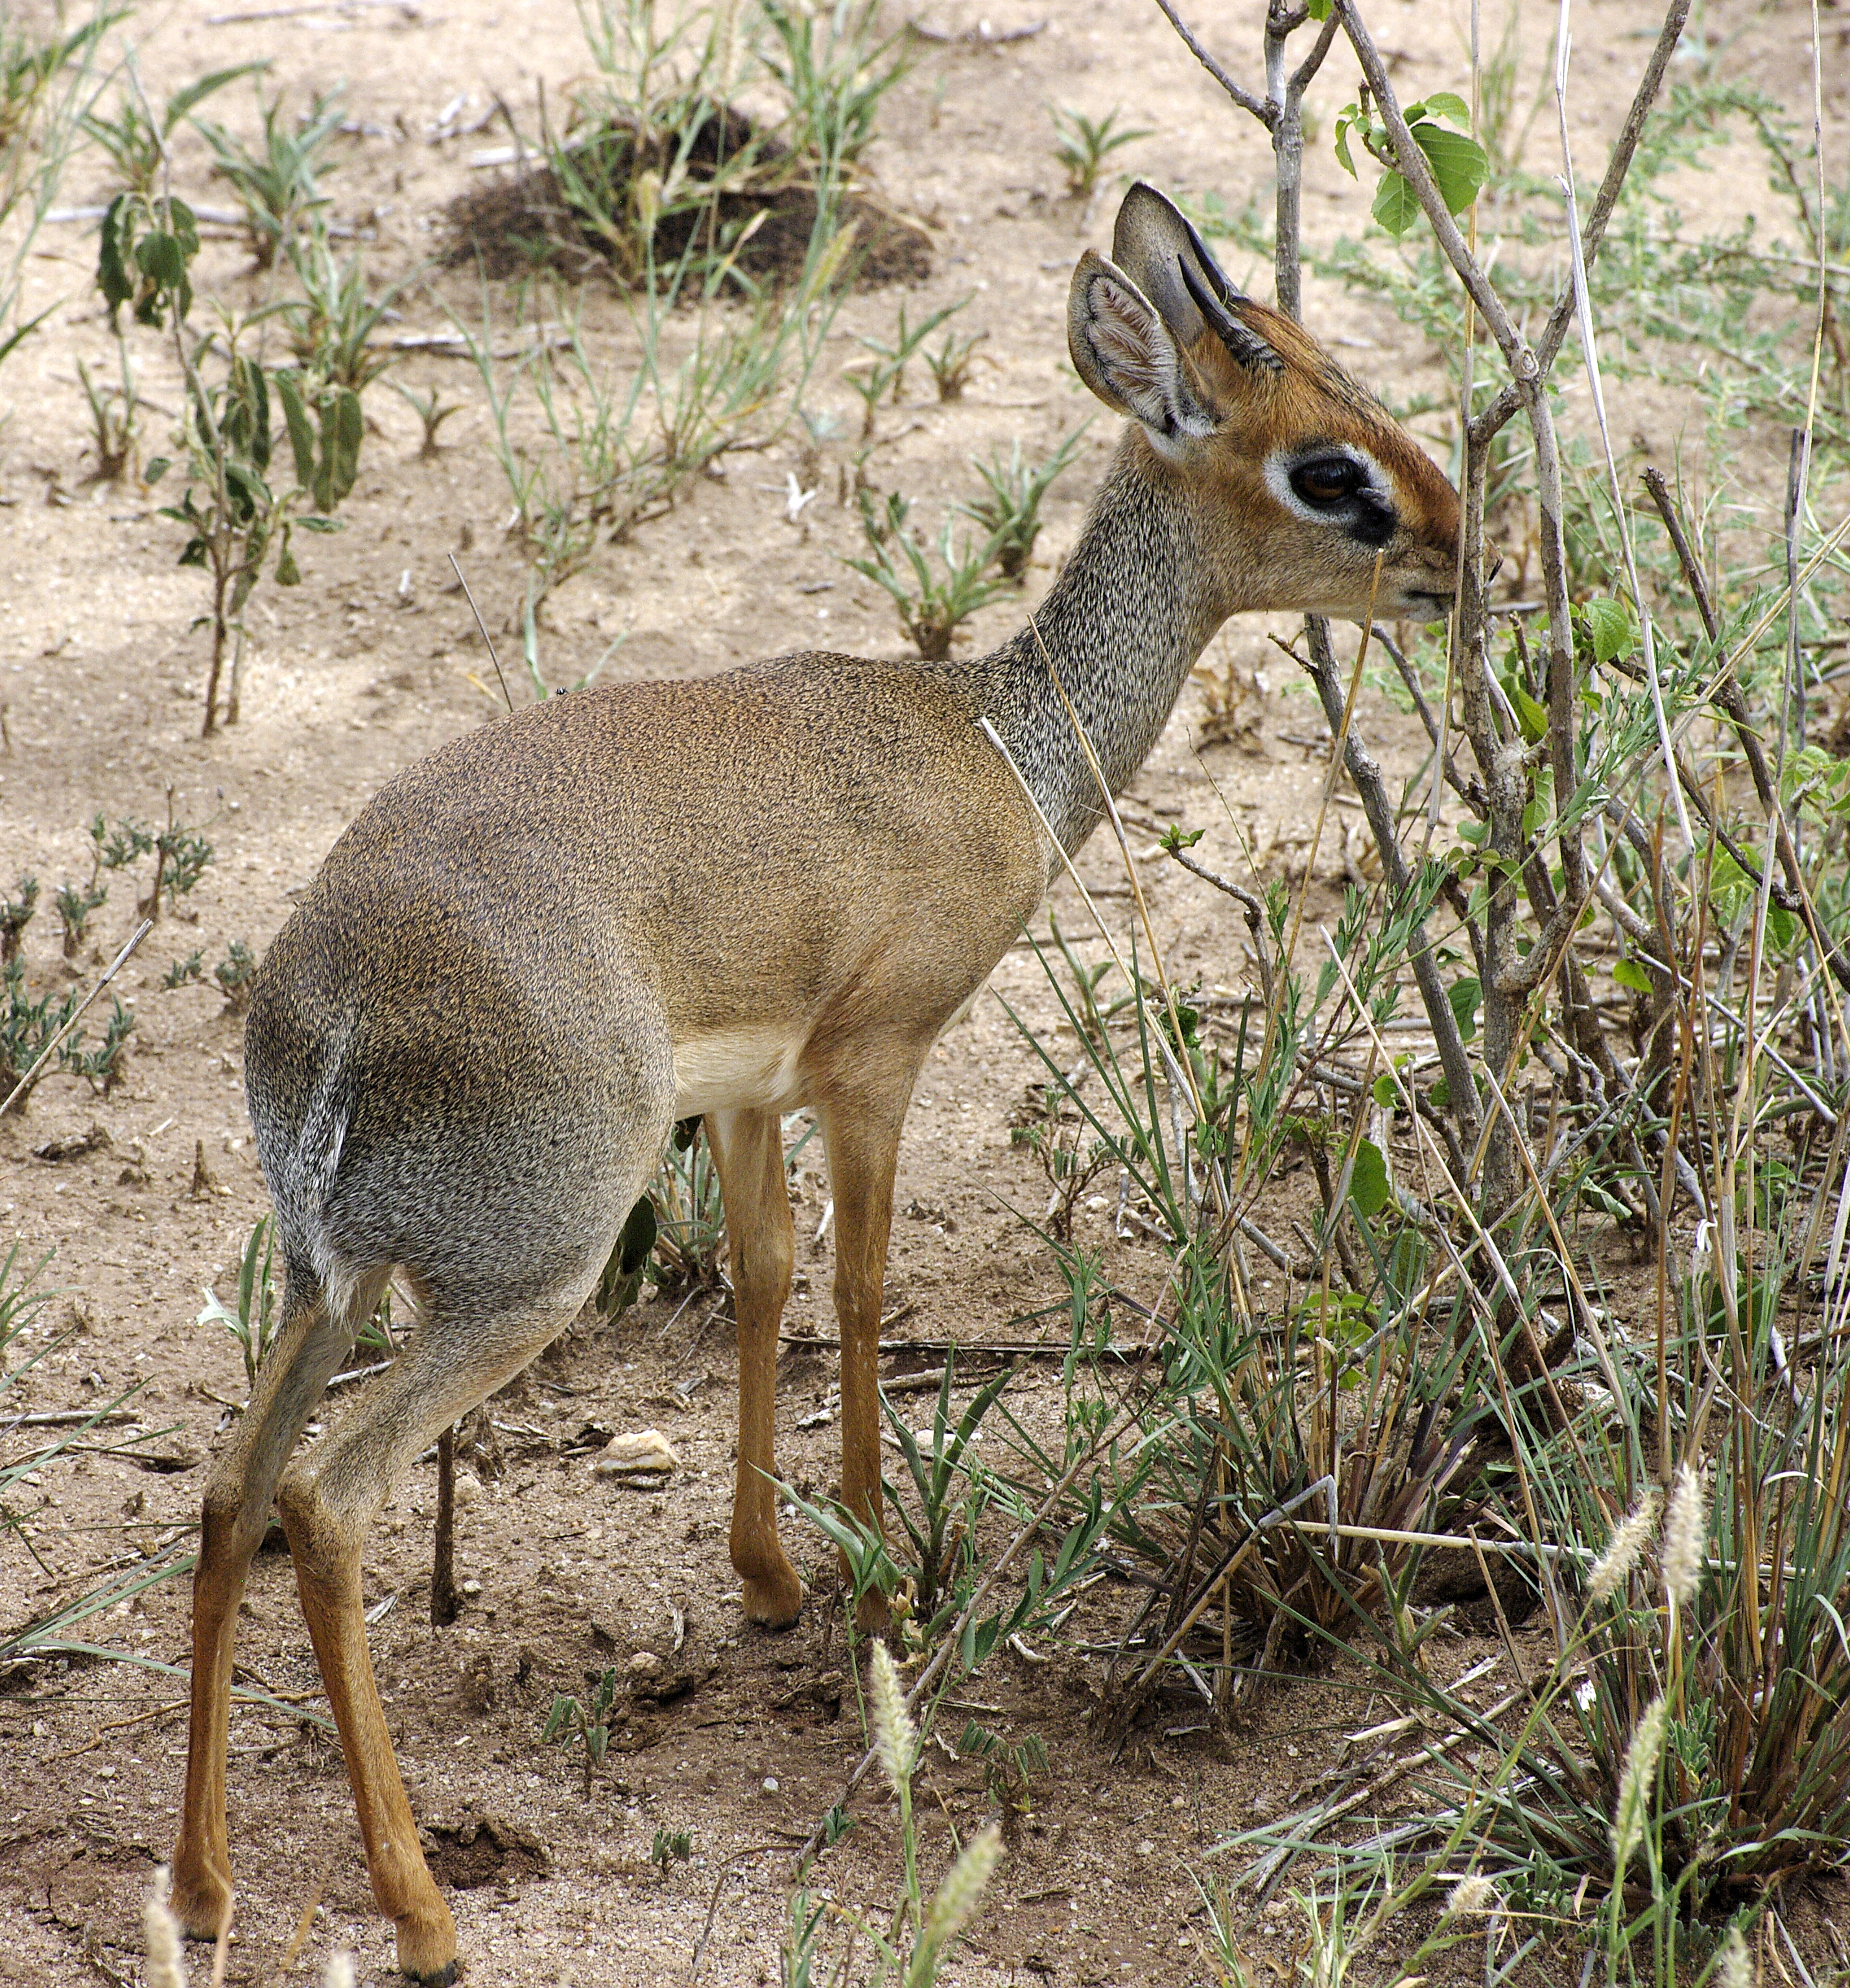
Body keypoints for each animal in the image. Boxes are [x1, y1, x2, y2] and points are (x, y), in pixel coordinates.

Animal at [170, 182, 1462, 1972]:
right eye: (1327, 467)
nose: (1461, 551)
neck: (991, 736)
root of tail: (337, 1008)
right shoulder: (877, 1060)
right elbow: (860, 1284)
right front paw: (877, 1582)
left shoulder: (742, 1092)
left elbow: (767, 1277)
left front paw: (771, 1574)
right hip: (514, 1281)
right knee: (327, 1494)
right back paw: (421, 1906)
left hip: (327, 1277)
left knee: (231, 1488)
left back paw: (204, 1886)